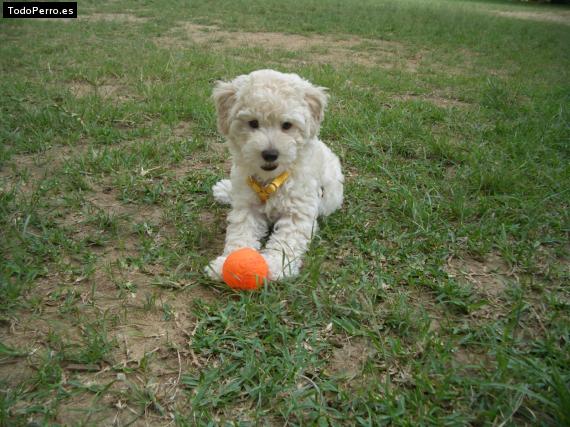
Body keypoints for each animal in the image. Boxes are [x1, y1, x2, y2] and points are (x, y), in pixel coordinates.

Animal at [206, 70, 344, 280]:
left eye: (287, 125)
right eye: (253, 123)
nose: (270, 154)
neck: (271, 179)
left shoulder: (297, 212)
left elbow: (286, 242)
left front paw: (276, 265)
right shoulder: (247, 206)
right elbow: (240, 232)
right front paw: (227, 263)